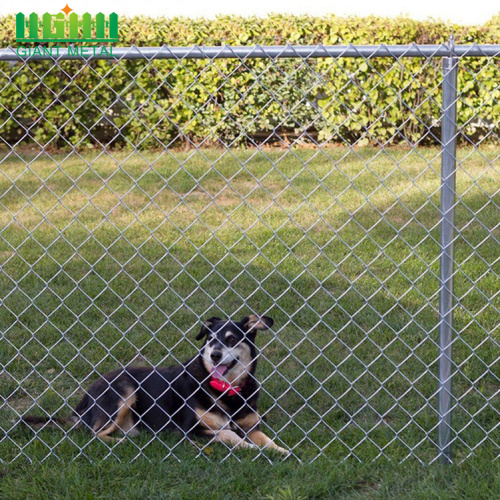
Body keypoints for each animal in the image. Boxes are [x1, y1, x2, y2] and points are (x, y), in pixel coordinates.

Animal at [23, 316, 290, 458]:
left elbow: (267, 439)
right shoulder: (191, 429)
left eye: (232, 339)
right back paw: (120, 443)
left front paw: (280, 450)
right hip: (124, 390)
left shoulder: (251, 425)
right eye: (210, 339)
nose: (214, 355)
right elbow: (228, 434)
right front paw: (250, 448)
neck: (227, 389)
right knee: (93, 434)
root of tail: (85, 400)